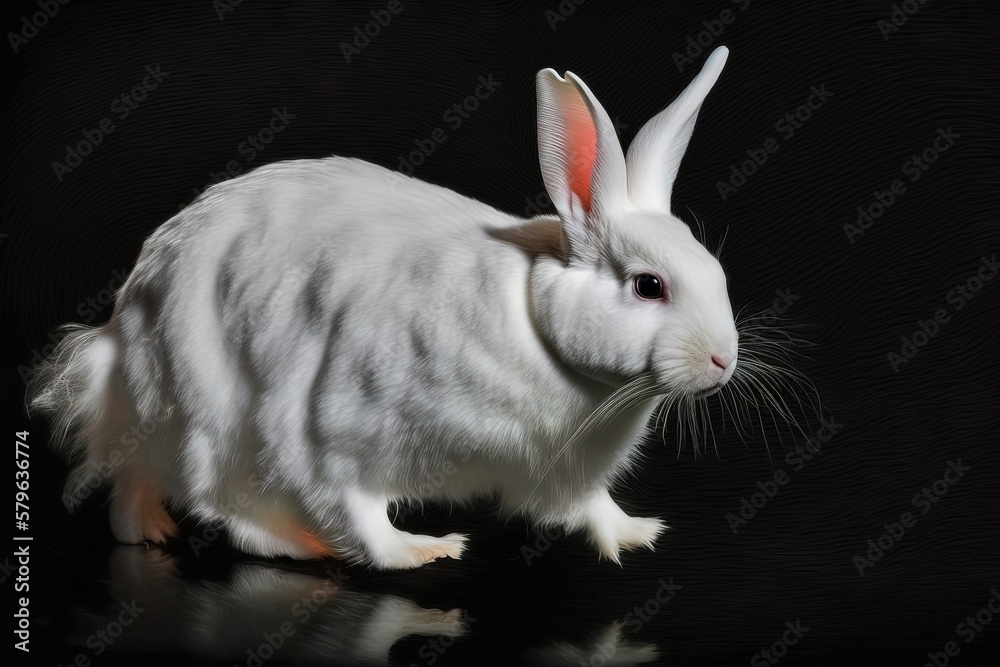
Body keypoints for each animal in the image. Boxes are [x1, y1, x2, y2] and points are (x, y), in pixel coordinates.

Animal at [29, 45, 736, 568]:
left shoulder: (566, 469)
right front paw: (421, 551)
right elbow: (356, 509)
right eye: (649, 286)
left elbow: (590, 506)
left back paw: (151, 529)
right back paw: (283, 544)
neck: (541, 334)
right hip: (210, 413)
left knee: (138, 480)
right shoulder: (334, 431)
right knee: (216, 502)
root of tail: (128, 315)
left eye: (716, 270)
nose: (723, 363)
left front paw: (636, 534)